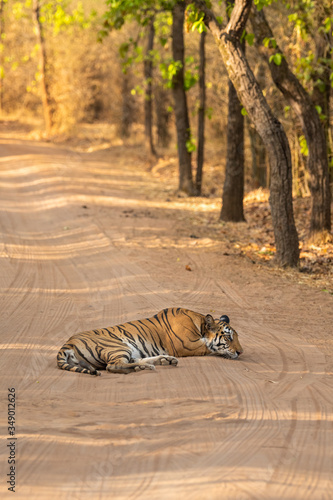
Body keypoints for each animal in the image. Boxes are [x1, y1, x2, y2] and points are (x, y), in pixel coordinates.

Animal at [56, 304, 244, 376]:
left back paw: (164, 361)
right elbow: (209, 347)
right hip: (118, 346)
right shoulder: (187, 346)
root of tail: (66, 344)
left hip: (127, 349)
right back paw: (147, 366)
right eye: (228, 337)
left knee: (131, 360)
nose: (241, 352)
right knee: (113, 366)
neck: (199, 323)